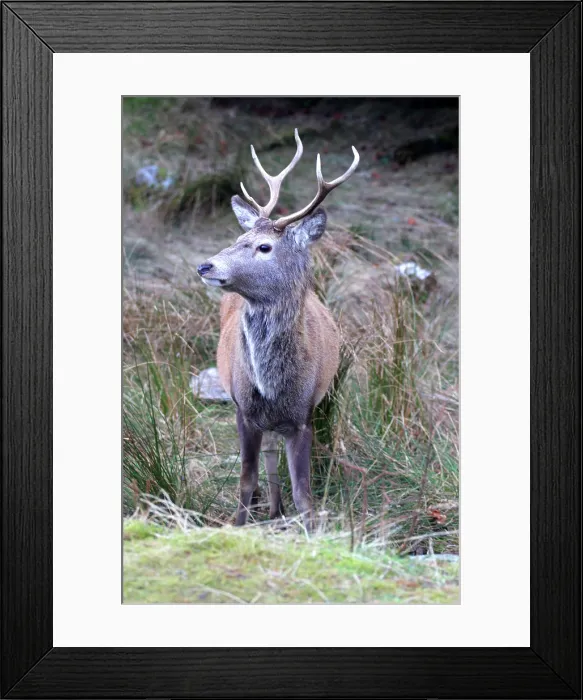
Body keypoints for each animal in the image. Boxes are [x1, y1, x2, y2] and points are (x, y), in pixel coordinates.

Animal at [197, 129, 359, 531]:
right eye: (237, 240)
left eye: (264, 246)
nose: (205, 265)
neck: (275, 387)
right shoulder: (243, 409)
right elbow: (244, 479)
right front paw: (238, 525)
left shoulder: (303, 416)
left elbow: (305, 495)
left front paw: (311, 532)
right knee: (267, 456)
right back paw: (268, 508)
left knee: (273, 455)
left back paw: (275, 509)